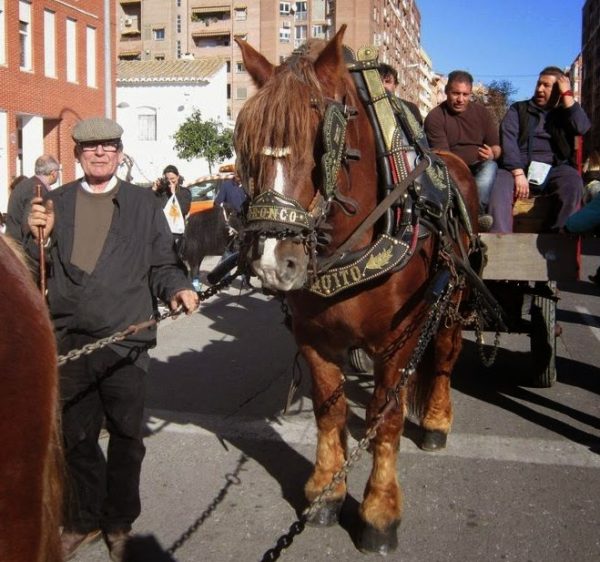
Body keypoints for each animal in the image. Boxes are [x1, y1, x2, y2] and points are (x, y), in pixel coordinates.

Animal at [232, 27, 480, 552]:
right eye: (247, 143)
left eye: (321, 140)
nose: (273, 263)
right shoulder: (312, 338)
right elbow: (330, 412)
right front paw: (327, 492)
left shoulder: (400, 339)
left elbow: (386, 418)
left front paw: (380, 512)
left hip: (452, 298)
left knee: (445, 354)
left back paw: (436, 421)